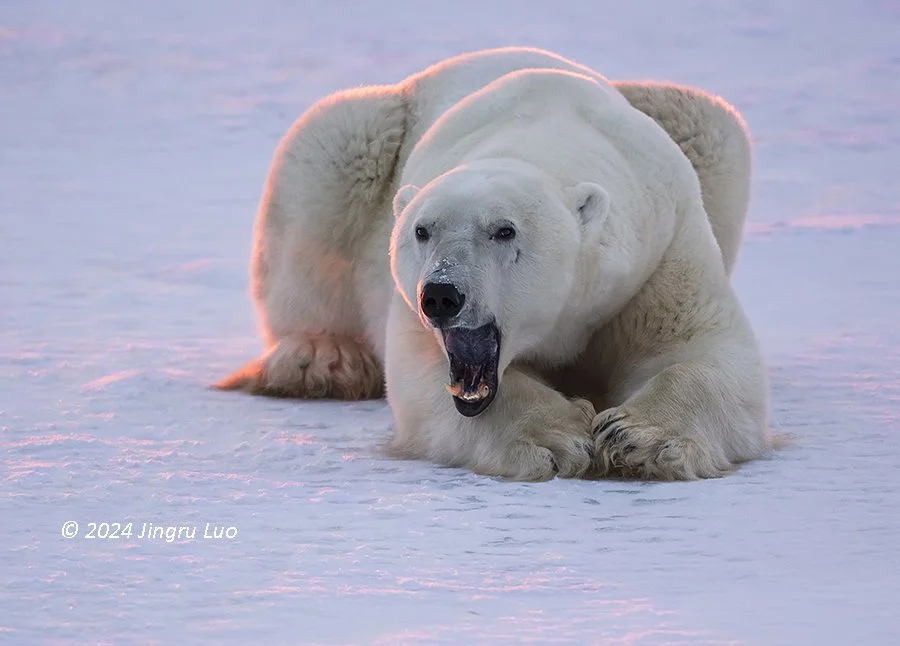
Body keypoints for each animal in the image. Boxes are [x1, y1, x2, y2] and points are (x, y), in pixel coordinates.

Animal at [216, 47, 771, 482]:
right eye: (422, 230)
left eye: (504, 230)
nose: (441, 295)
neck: (544, 134)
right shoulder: (409, 311)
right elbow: (424, 380)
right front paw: (558, 437)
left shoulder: (659, 248)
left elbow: (704, 350)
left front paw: (638, 437)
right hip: (364, 136)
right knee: (328, 155)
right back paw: (323, 360)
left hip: (694, 131)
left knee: (707, 119)